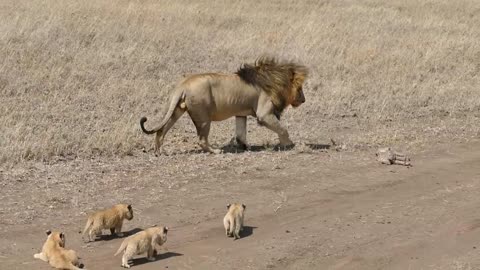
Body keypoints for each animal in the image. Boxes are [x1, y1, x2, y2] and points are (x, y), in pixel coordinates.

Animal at [141, 56, 310, 154]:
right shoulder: (264, 114)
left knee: (161, 130)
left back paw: (158, 151)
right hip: (203, 117)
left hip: (177, 110)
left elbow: (240, 134)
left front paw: (245, 147)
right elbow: (283, 129)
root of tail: (183, 84)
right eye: (299, 88)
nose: (303, 100)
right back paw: (215, 151)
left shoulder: (241, 114)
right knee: (201, 139)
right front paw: (289, 145)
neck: (274, 80)